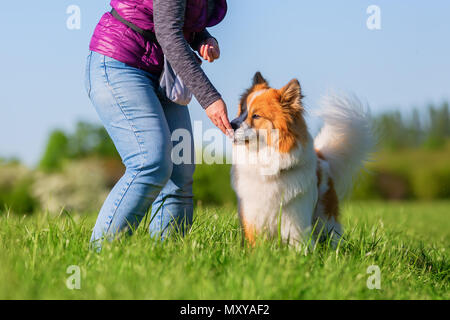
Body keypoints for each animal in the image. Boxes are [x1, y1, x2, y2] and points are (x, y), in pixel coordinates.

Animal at [230, 72, 374, 248]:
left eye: (256, 116)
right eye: (241, 112)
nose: (231, 124)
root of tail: (321, 156)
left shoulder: (295, 222)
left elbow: (298, 246)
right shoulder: (253, 219)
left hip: (326, 219)